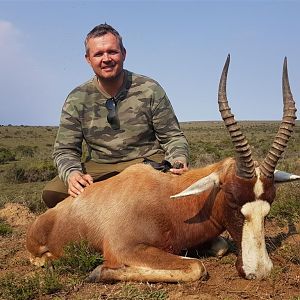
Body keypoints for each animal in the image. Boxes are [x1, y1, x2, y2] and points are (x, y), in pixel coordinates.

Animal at [25, 55, 298, 282]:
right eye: (231, 198)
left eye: (269, 203)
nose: (259, 271)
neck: (169, 200)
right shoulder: (124, 249)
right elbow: (195, 267)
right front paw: (98, 271)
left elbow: (218, 248)